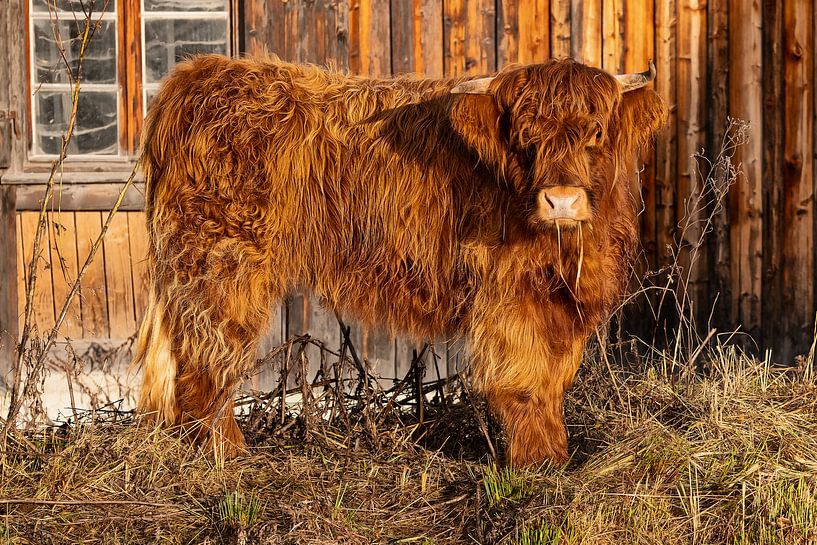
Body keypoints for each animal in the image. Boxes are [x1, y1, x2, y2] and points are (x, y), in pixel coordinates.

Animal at [133, 54, 667, 467]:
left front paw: (555, 454)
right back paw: (224, 451)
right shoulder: (511, 300)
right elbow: (526, 381)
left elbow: (554, 379)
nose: (561, 201)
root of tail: (198, 78)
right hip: (220, 263)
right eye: (524, 139)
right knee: (208, 353)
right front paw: (537, 462)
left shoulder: (561, 304)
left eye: (595, 133)